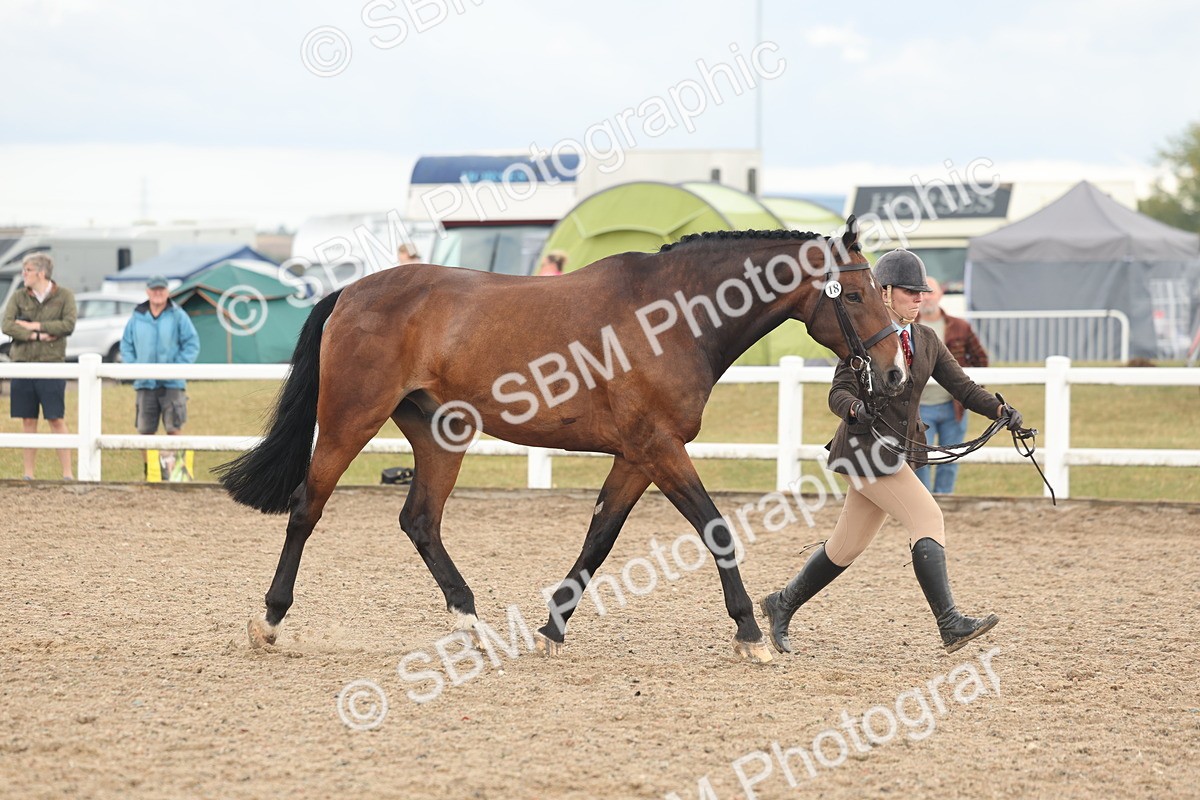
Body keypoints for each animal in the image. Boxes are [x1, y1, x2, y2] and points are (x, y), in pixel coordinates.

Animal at [217, 218, 907, 664]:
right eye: (858, 293)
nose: (897, 371)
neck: (673, 316)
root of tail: (351, 290)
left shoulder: (636, 456)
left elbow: (598, 540)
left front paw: (552, 629)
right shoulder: (660, 449)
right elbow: (715, 529)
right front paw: (749, 635)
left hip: (442, 435)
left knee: (420, 521)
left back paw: (477, 629)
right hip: (349, 421)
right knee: (307, 508)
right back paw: (268, 623)